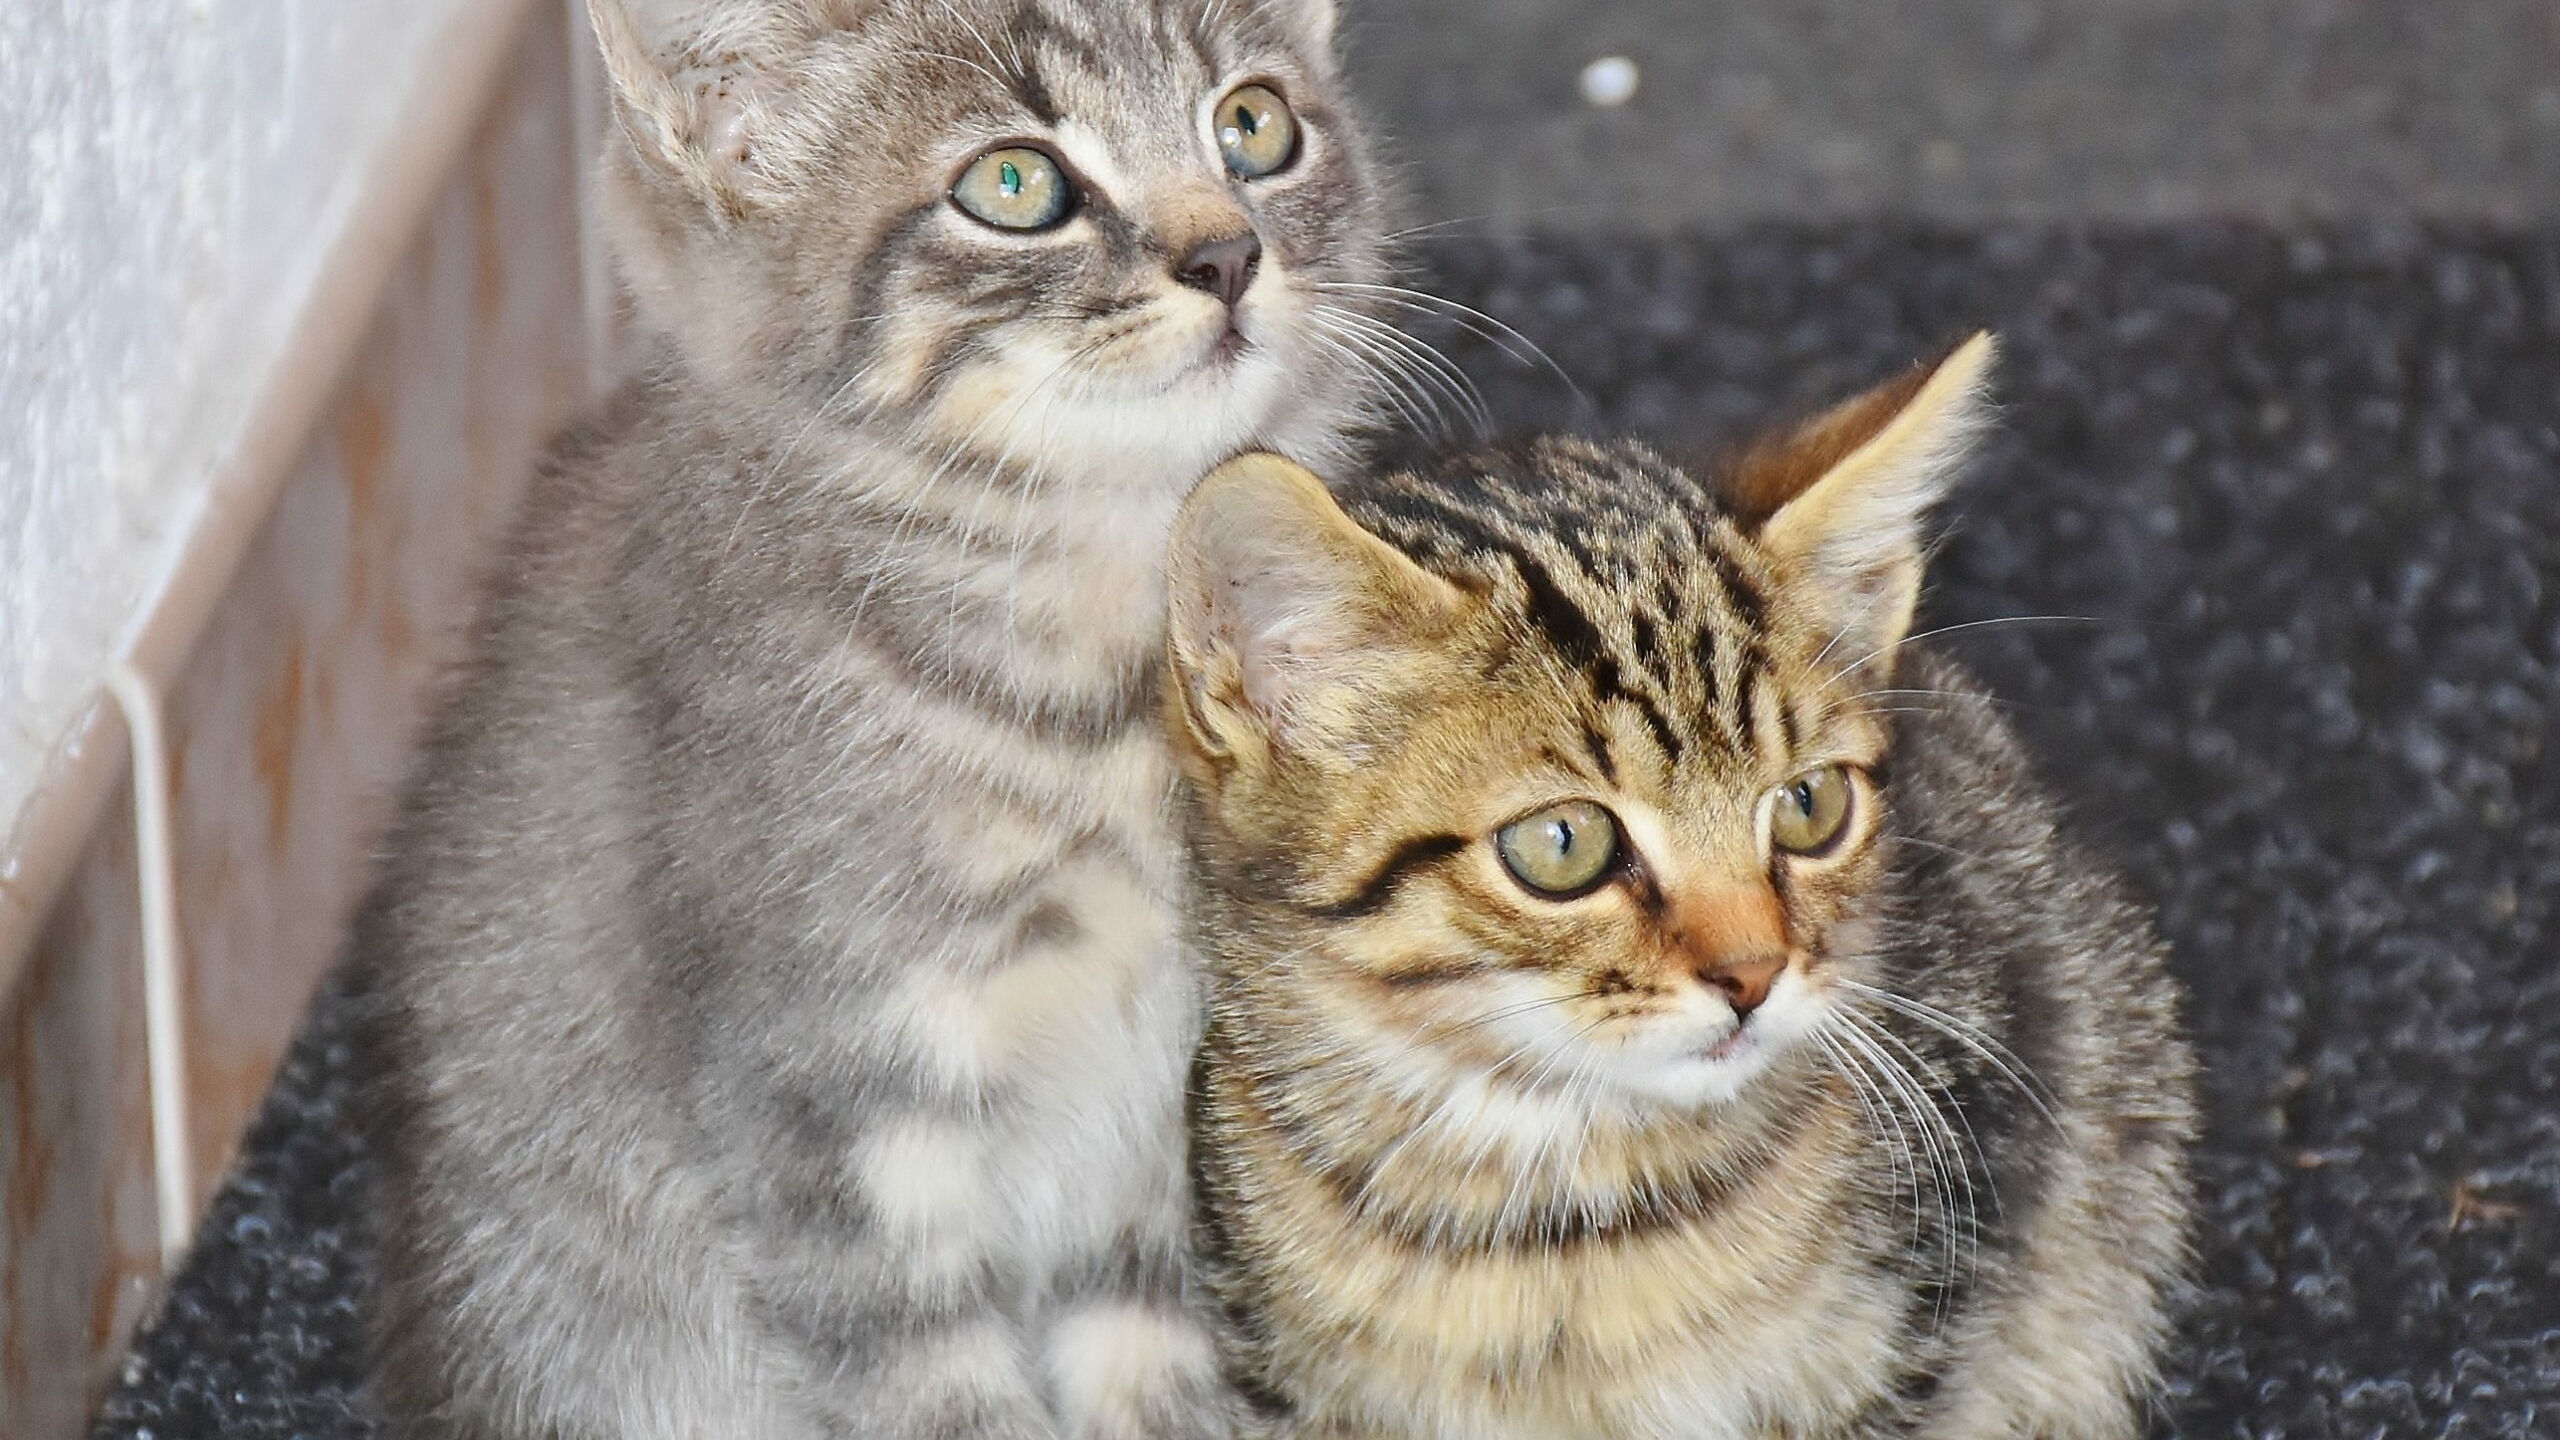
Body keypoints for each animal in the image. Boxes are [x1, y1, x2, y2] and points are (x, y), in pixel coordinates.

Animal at [355, 2, 1382, 1434]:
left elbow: (1150, 1373)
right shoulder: (827, 1103)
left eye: (1254, 124)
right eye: (1014, 186)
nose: (1227, 252)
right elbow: (934, 1389)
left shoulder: (1154, 1129)